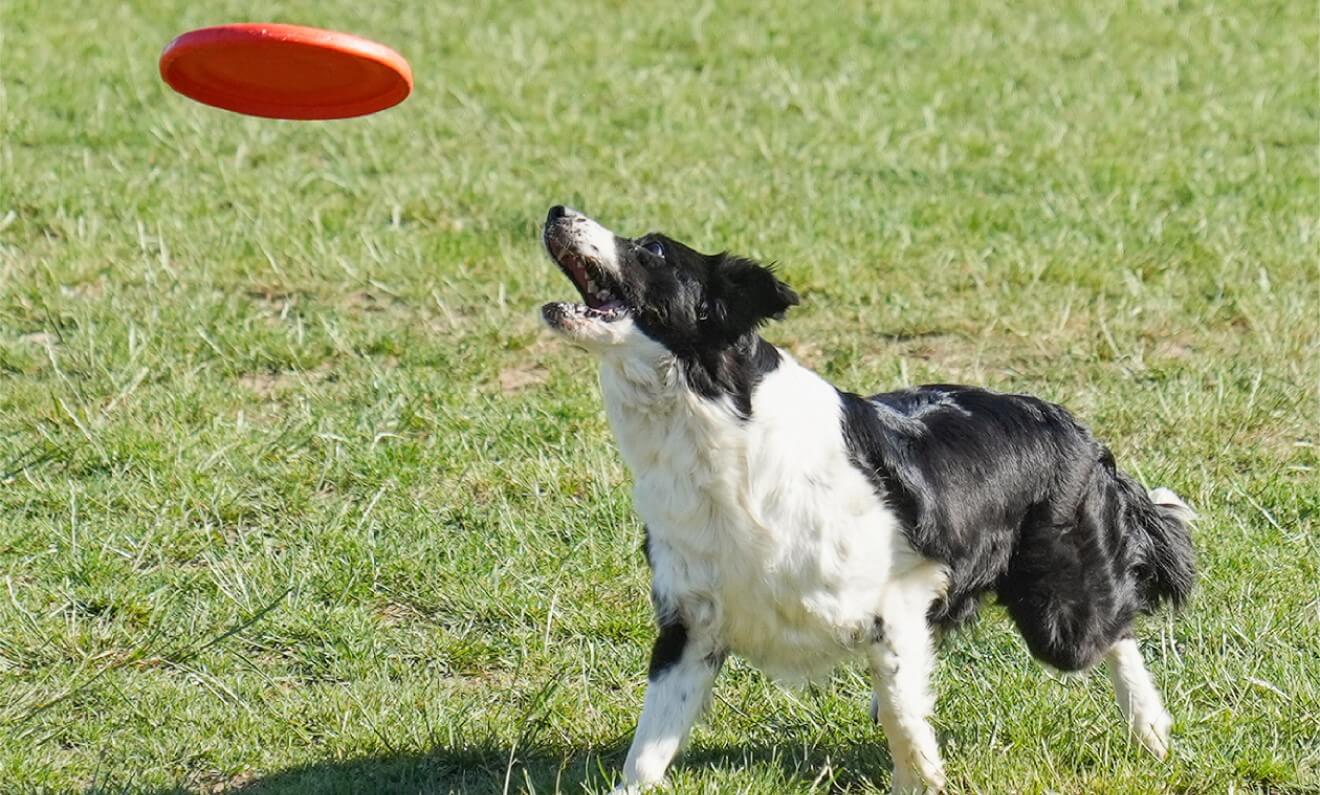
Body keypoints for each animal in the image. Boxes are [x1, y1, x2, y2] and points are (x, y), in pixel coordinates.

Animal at [535, 206, 1198, 792]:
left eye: (651, 249)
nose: (556, 210)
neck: (714, 426)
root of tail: (1077, 430)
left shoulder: (894, 604)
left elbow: (907, 721)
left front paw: (921, 780)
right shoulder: (691, 624)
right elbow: (646, 753)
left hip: (1060, 612)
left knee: (1118, 628)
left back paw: (1150, 729)